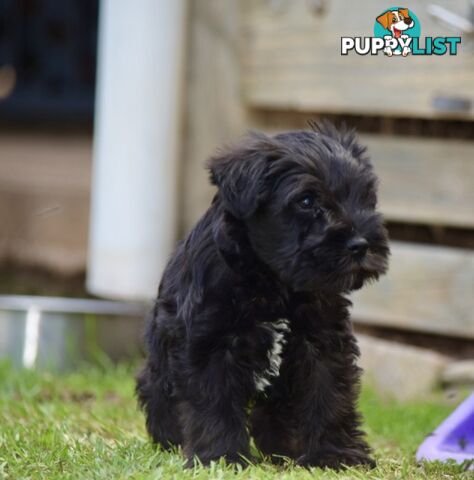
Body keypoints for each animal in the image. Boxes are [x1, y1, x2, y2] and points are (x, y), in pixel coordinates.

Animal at [136, 121, 388, 468]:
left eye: (366, 196)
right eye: (307, 201)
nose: (361, 244)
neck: (274, 284)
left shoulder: (323, 343)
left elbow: (330, 398)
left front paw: (335, 455)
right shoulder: (209, 345)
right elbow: (214, 404)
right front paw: (222, 457)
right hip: (159, 374)